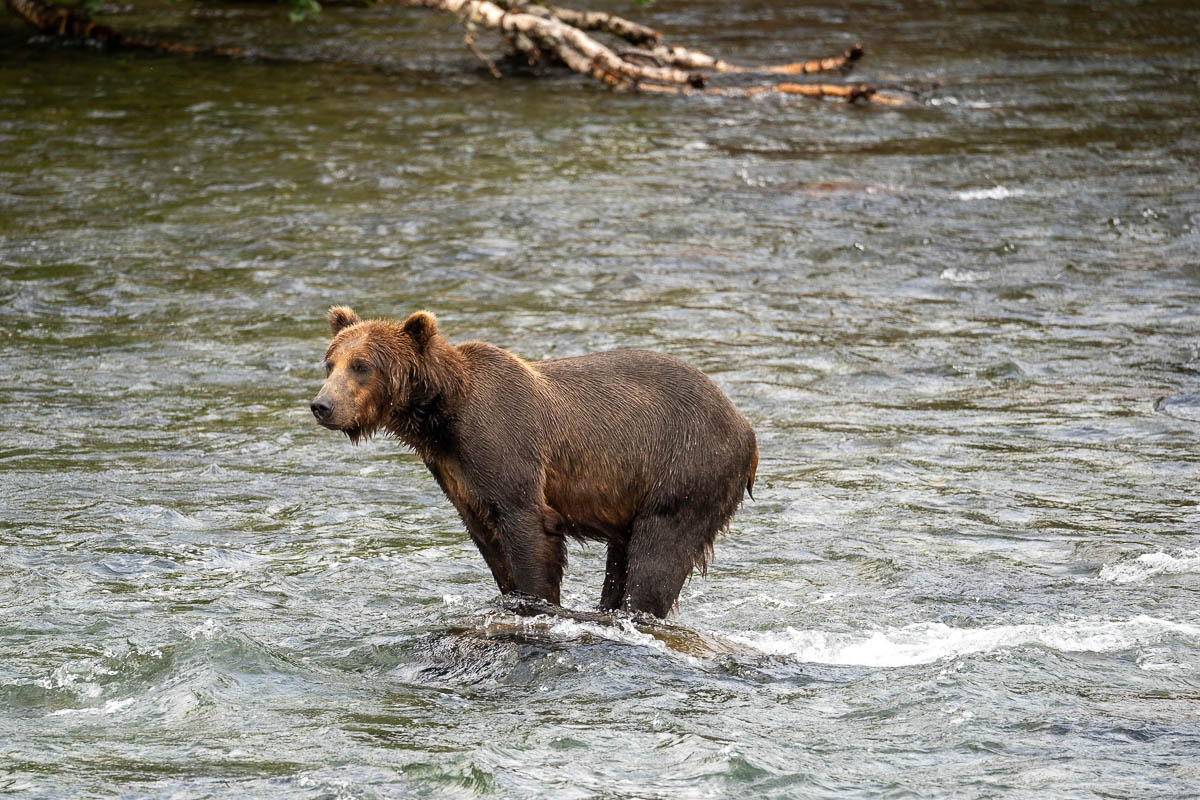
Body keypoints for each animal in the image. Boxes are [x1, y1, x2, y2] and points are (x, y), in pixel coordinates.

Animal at [312, 307, 758, 618]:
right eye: (330, 362)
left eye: (362, 366)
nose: (322, 405)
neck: (442, 418)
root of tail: (746, 427)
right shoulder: (457, 475)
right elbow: (489, 541)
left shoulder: (504, 444)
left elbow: (528, 528)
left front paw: (538, 601)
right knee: (623, 558)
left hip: (686, 467)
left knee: (658, 555)